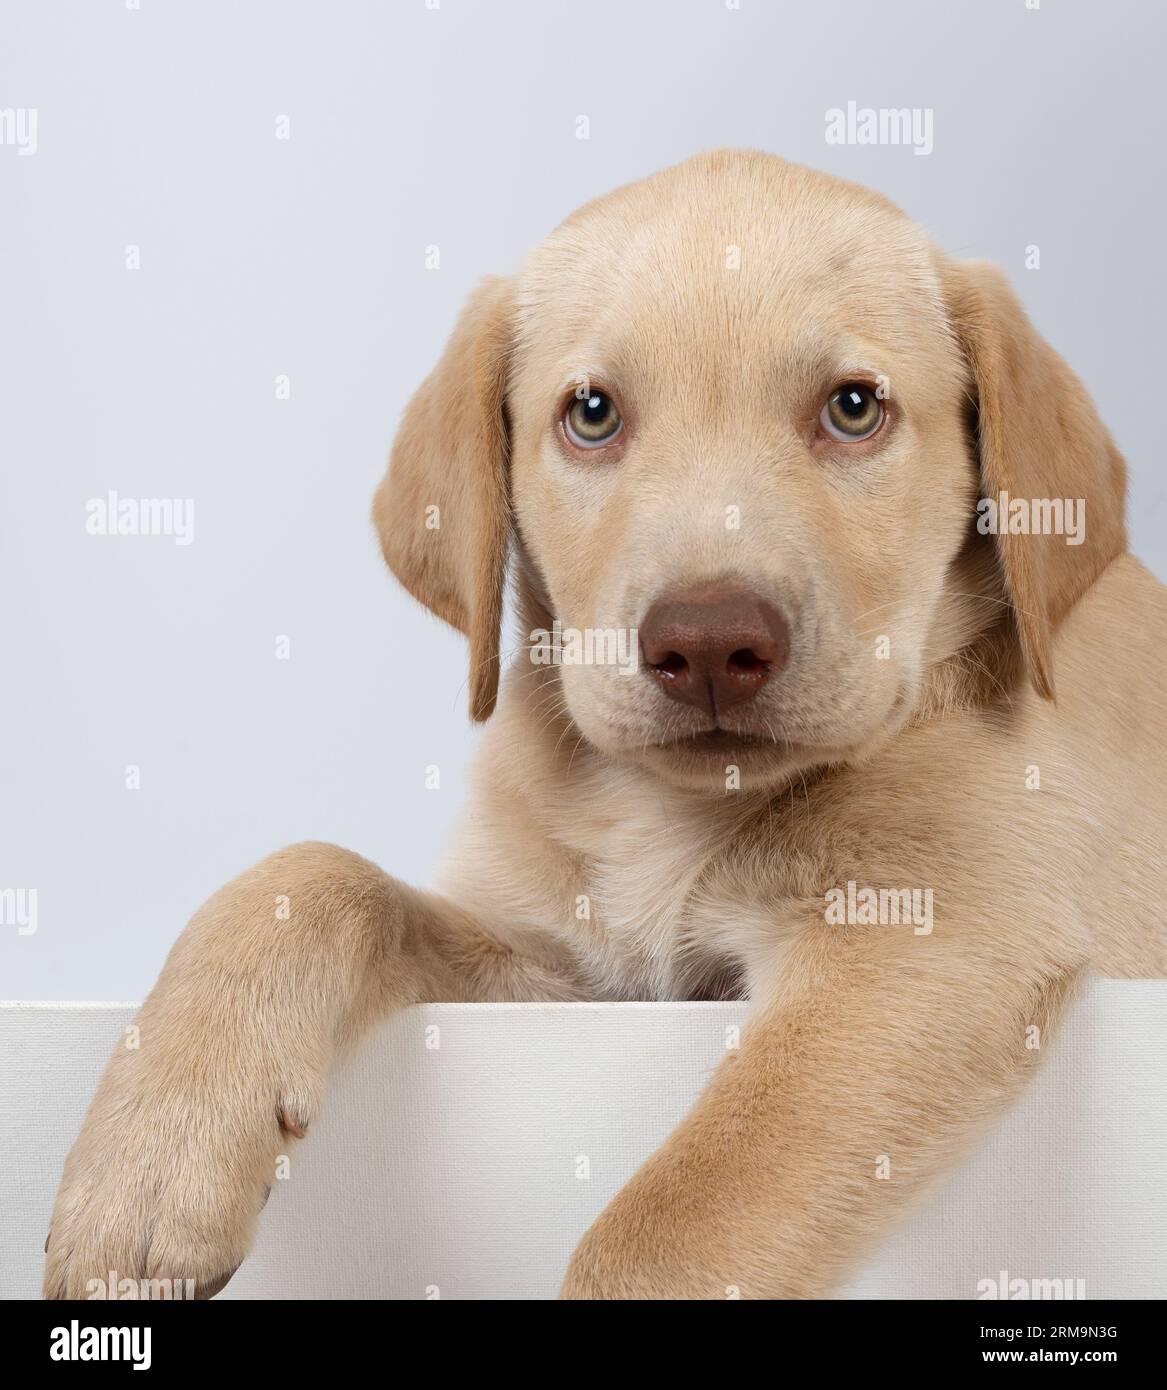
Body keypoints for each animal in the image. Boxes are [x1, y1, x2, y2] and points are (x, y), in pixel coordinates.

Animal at [45, 154, 1167, 1301]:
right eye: (592, 414)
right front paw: (151, 1157)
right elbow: (313, 872)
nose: (710, 645)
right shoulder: (565, 976)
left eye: (854, 409)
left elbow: (669, 1226)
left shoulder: (924, 944)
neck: (663, 812)